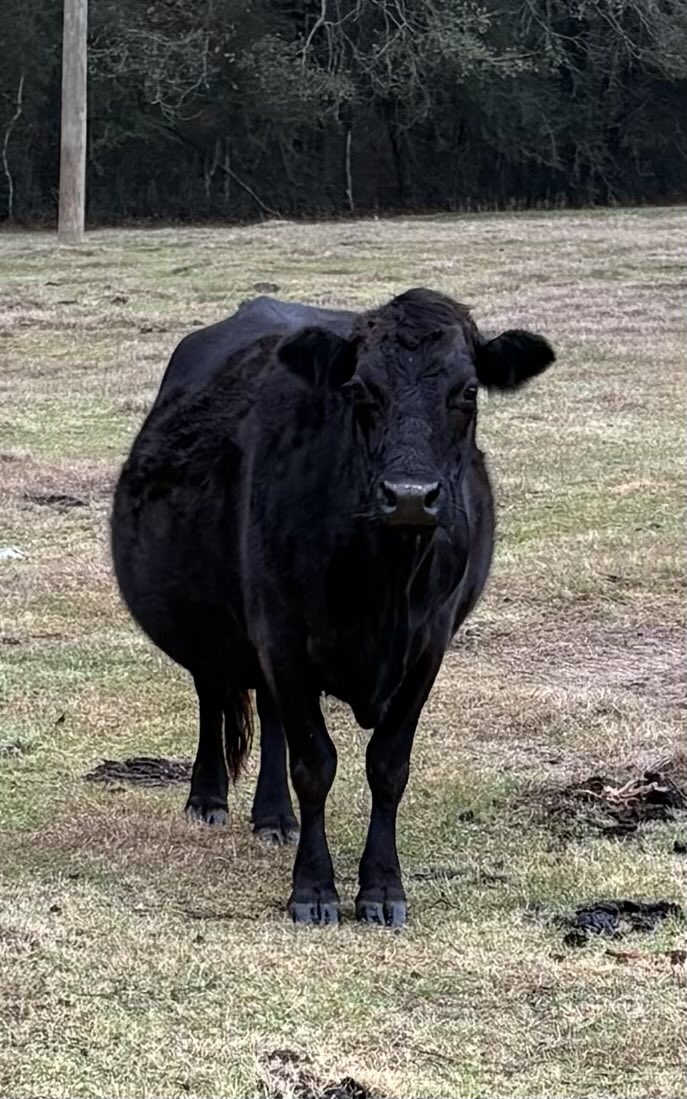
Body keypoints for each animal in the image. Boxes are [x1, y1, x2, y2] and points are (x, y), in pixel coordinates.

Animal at [110, 289, 555, 927]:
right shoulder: (282, 636)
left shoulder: (429, 645)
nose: (410, 497)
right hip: (210, 622)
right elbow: (314, 764)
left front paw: (382, 888)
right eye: (362, 389)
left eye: (468, 391)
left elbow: (387, 766)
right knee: (213, 696)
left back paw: (274, 817)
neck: (386, 582)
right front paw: (314, 889)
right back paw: (209, 797)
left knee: (268, 716)